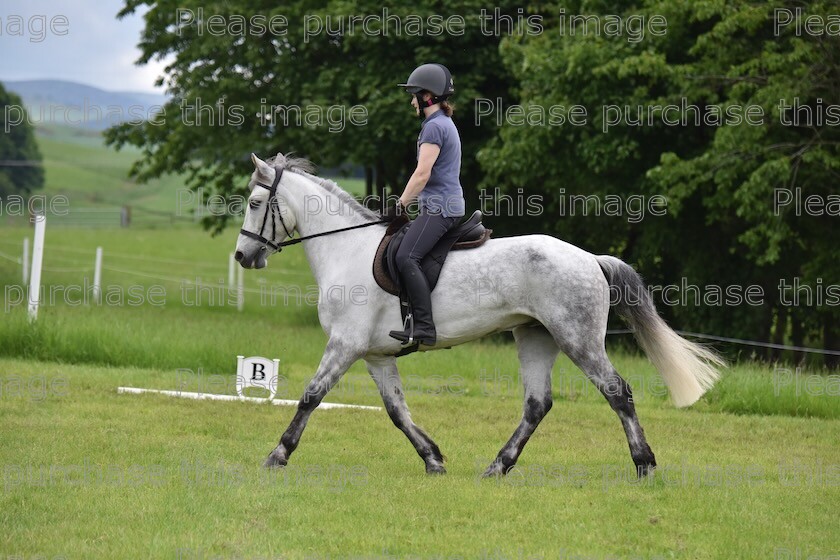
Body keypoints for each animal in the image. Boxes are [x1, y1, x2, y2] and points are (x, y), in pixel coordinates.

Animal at [235, 153, 720, 476]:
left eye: (256, 204)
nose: (243, 256)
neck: (345, 248)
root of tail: (591, 259)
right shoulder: (375, 354)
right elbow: (396, 410)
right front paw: (432, 458)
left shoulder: (345, 344)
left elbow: (311, 396)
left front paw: (278, 454)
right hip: (536, 337)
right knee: (537, 404)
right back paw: (498, 466)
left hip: (577, 338)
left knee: (618, 392)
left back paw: (644, 464)